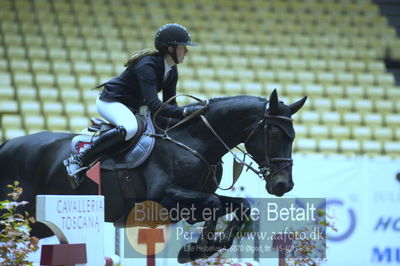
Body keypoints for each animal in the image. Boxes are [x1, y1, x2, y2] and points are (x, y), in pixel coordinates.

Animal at [0, 89, 306, 262]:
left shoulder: (194, 199)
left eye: (292, 135)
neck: (196, 140)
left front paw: (203, 247)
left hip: (36, 225)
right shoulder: (164, 199)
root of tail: (7, 145)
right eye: (275, 133)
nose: (283, 185)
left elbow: (237, 206)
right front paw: (200, 247)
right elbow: (214, 205)